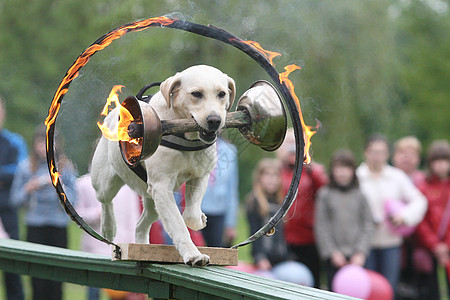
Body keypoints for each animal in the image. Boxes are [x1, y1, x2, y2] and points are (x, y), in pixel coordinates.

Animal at [90, 64, 236, 266]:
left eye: (222, 94)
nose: (214, 120)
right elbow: (178, 224)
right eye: (196, 94)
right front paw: (193, 255)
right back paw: (108, 227)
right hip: (105, 182)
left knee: (140, 225)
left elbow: (190, 215)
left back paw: (142, 248)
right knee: (105, 200)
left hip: (152, 203)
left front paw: (200, 218)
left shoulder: (200, 175)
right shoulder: (161, 186)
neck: (186, 135)